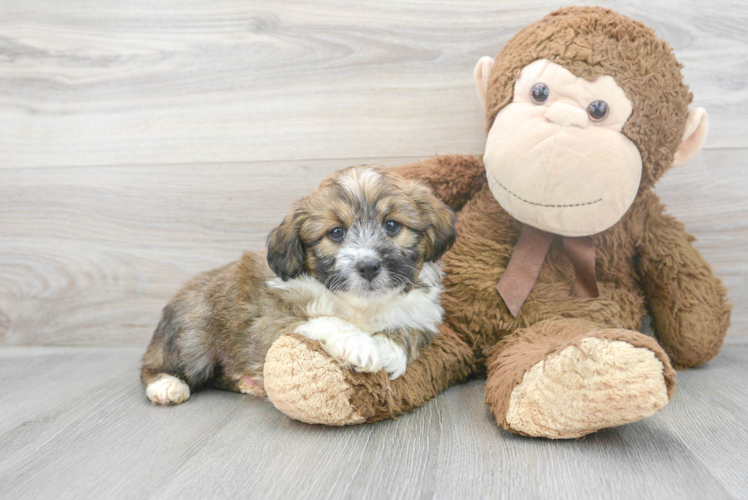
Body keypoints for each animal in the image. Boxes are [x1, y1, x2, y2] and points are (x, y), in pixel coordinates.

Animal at [140, 166, 456, 404]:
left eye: (392, 225)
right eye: (336, 233)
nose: (368, 266)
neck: (362, 305)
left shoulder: (421, 312)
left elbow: (410, 328)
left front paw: (389, 350)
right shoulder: (270, 321)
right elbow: (325, 320)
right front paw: (359, 344)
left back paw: (247, 382)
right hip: (193, 336)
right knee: (154, 366)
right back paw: (165, 385)